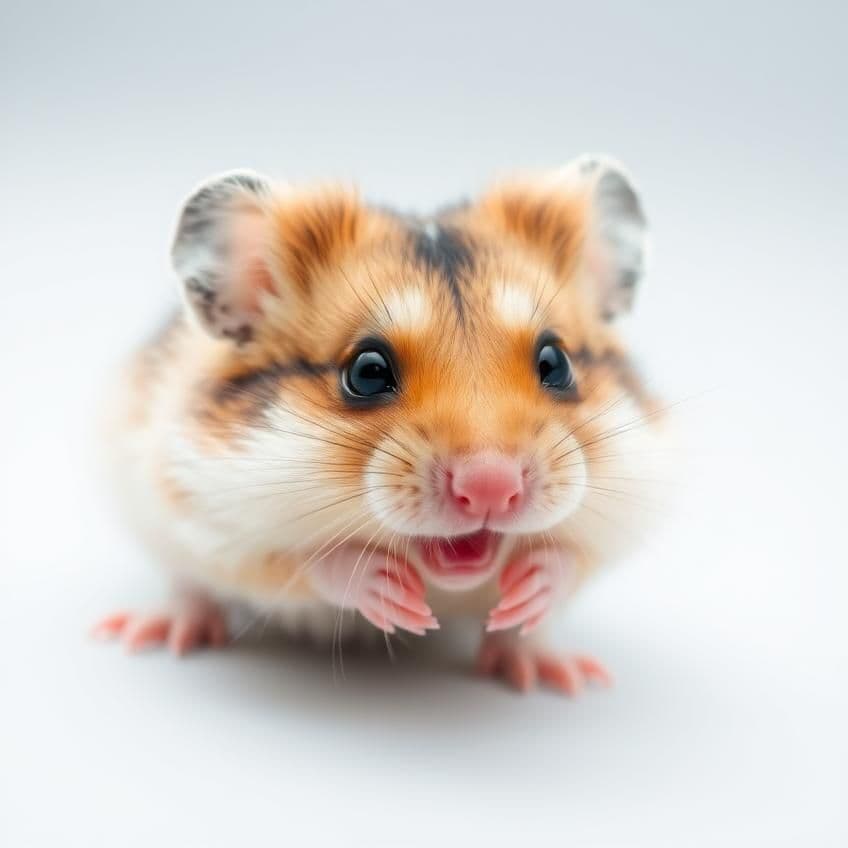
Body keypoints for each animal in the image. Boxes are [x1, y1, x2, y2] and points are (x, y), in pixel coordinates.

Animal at [95, 154, 665, 694]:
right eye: (367, 373)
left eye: (556, 363)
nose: (491, 489)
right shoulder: (217, 518)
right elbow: (313, 563)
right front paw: (398, 597)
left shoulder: (626, 506)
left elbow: (569, 557)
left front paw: (530, 585)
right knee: (188, 586)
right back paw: (153, 631)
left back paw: (552, 672)